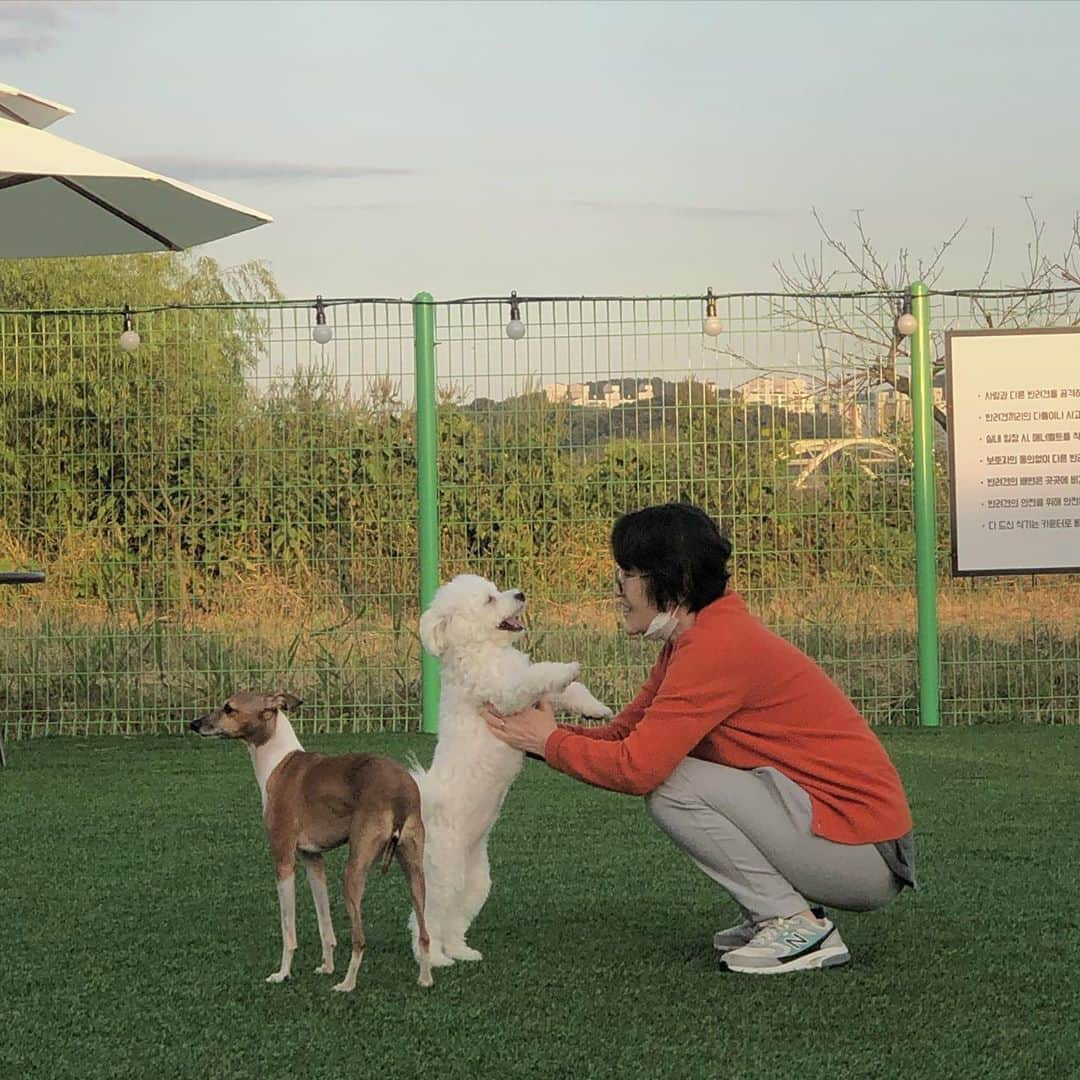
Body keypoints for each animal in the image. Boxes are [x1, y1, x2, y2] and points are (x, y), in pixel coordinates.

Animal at [192, 695, 432, 989]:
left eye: (229, 708)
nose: (194, 724)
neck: (278, 762)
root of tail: (400, 792)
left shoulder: (283, 860)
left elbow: (288, 930)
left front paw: (282, 973)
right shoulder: (313, 860)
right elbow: (324, 922)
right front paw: (326, 966)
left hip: (354, 870)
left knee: (360, 940)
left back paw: (347, 984)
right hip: (414, 871)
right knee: (424, 934)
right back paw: (425, 978)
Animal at [408, 578, 613, 967]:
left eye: (496, 588)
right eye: (490, 599)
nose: (520, 594)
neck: (488, 651)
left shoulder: (534, 697)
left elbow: (568, 693)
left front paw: (596, 708)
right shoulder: (504, 693)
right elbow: (539, 674)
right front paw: (568, 668)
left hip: (476, 882)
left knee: (456, 919)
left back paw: (463, 951)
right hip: (443, 874)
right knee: (426, 919)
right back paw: (437, 959)